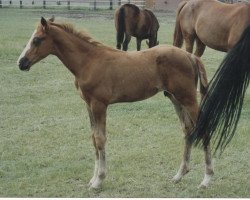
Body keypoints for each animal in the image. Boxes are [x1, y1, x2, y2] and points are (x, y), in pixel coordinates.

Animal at [17, 16, 213, 189]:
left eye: (37, 40)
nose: (21, 63)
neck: (88, 62)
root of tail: (190, 56)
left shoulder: (99, 104)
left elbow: (100, 139)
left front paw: (98, 181)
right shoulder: (88, 105)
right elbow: (93, 138)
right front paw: (93, 179)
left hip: (188, 98)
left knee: (203, 129)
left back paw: (207, 179)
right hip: (175, 98)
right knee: (188, 130)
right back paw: (180, 174)